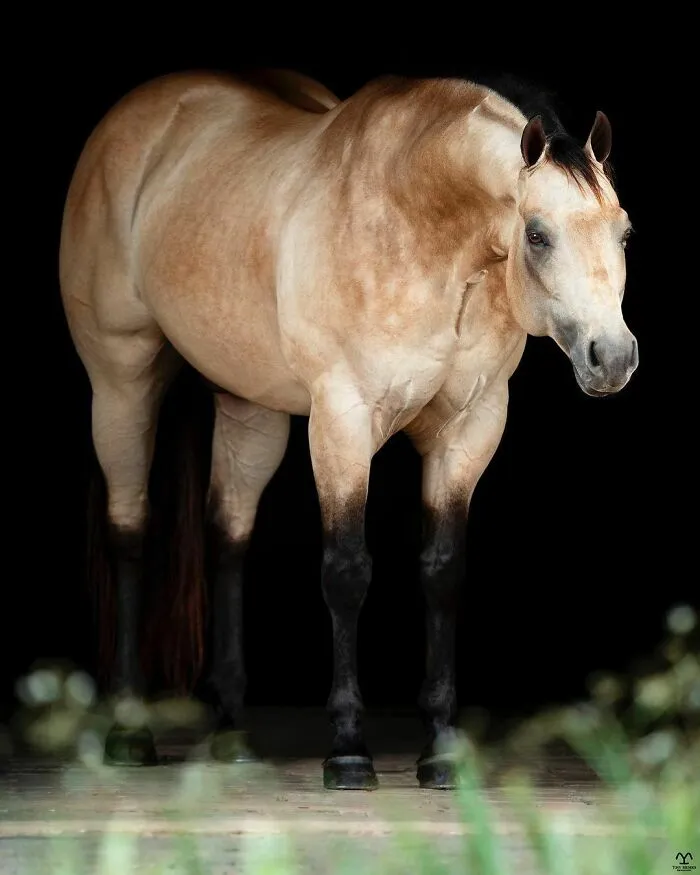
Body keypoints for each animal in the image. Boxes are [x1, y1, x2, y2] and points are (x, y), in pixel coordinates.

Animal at [59, 66, 638, 790]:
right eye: (537, 234)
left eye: (623, 232)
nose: (612, 357)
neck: (423, 230)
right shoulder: (342, 419)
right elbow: (346, 571)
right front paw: (348, 748)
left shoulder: (470, 429)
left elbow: (442, 573)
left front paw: (441, 750)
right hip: (121, 382)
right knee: (130, 532)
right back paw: (129, 731)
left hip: (249, 407)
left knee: (228, 539)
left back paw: (231, 736)